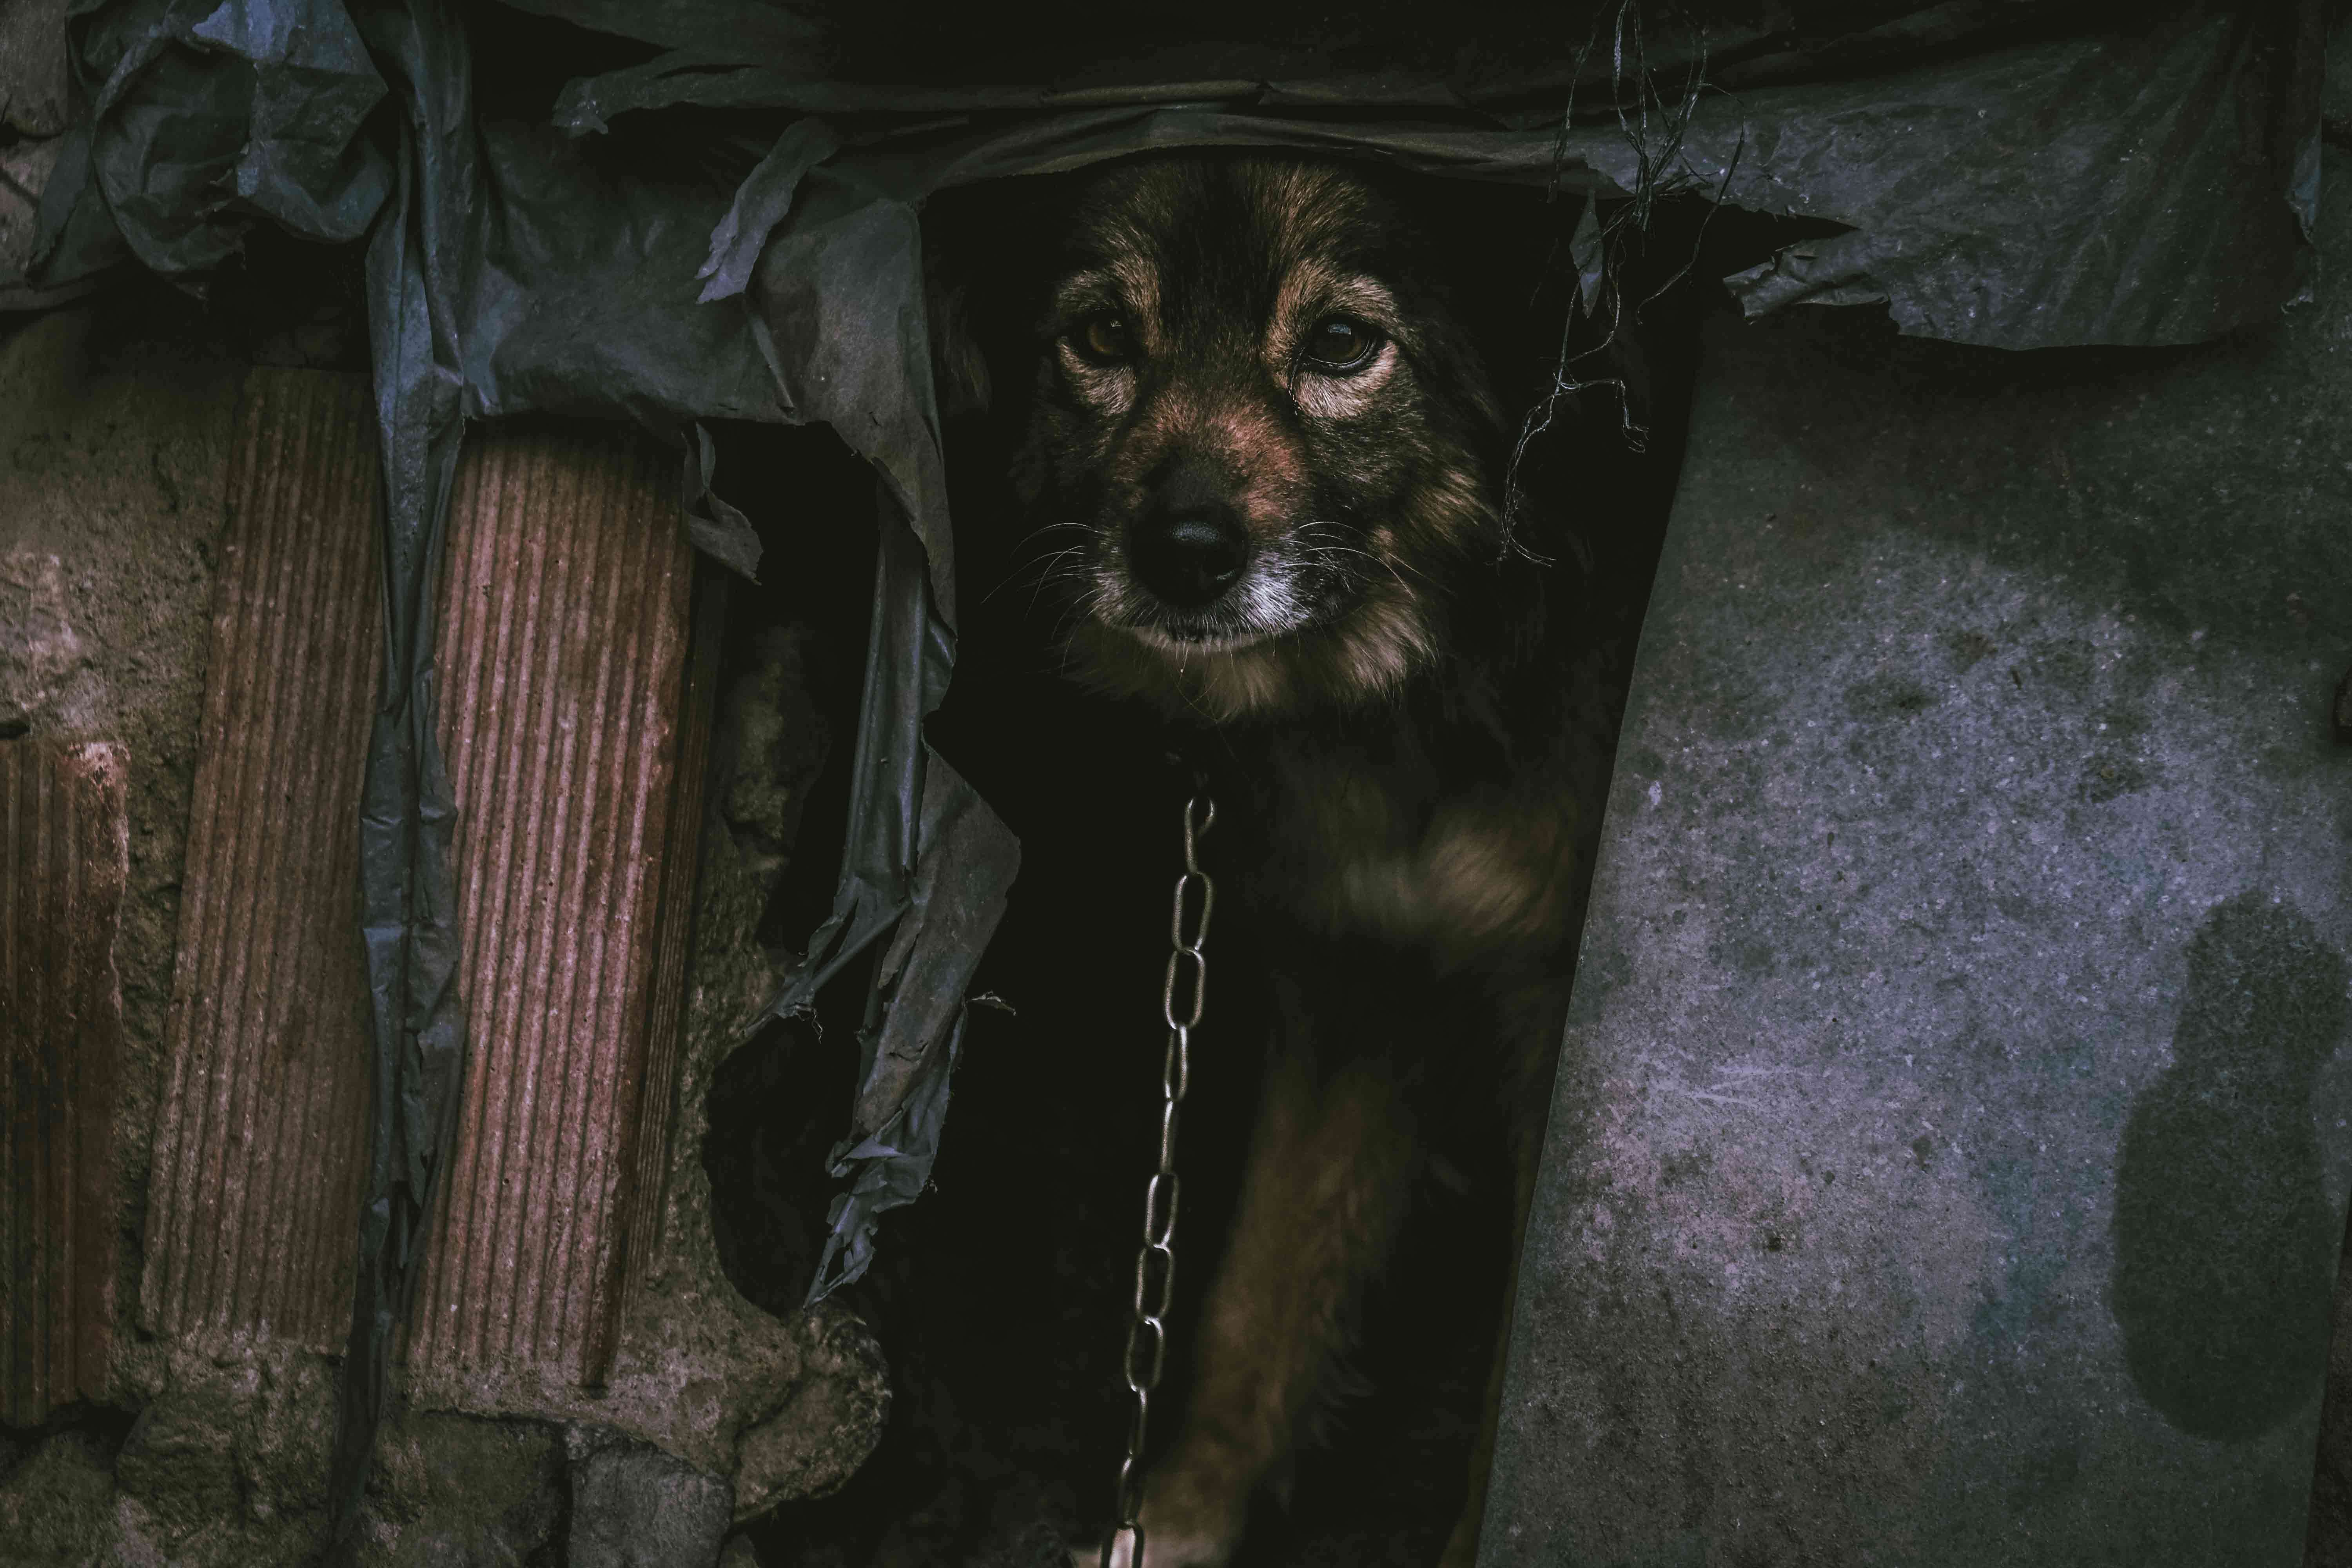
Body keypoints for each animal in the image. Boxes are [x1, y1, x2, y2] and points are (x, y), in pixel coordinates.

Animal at [936, 152, 1618, 1568]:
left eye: (1342, 344)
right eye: (1103, 337)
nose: (1182, 556)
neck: (1427, 701)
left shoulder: (1547, 1033)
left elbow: (1511, 1394)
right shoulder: (1357, 990)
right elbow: (1255, 1298)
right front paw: (1170, 1527)